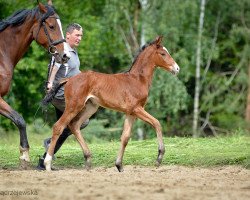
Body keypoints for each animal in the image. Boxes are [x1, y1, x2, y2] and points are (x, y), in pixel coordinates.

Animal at [43, 36, 180, 172]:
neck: (137, 79)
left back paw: (88, 159)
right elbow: (156, 123)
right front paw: (159, 157)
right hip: (73, 106)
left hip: (90, 108)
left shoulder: (131, 113)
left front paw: (119, 165)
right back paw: (47, 163)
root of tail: (69, 79)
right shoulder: (137, 109)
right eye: (163, 53)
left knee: (74, 125)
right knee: (58, 127)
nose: (177, 68)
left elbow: (125, 137)